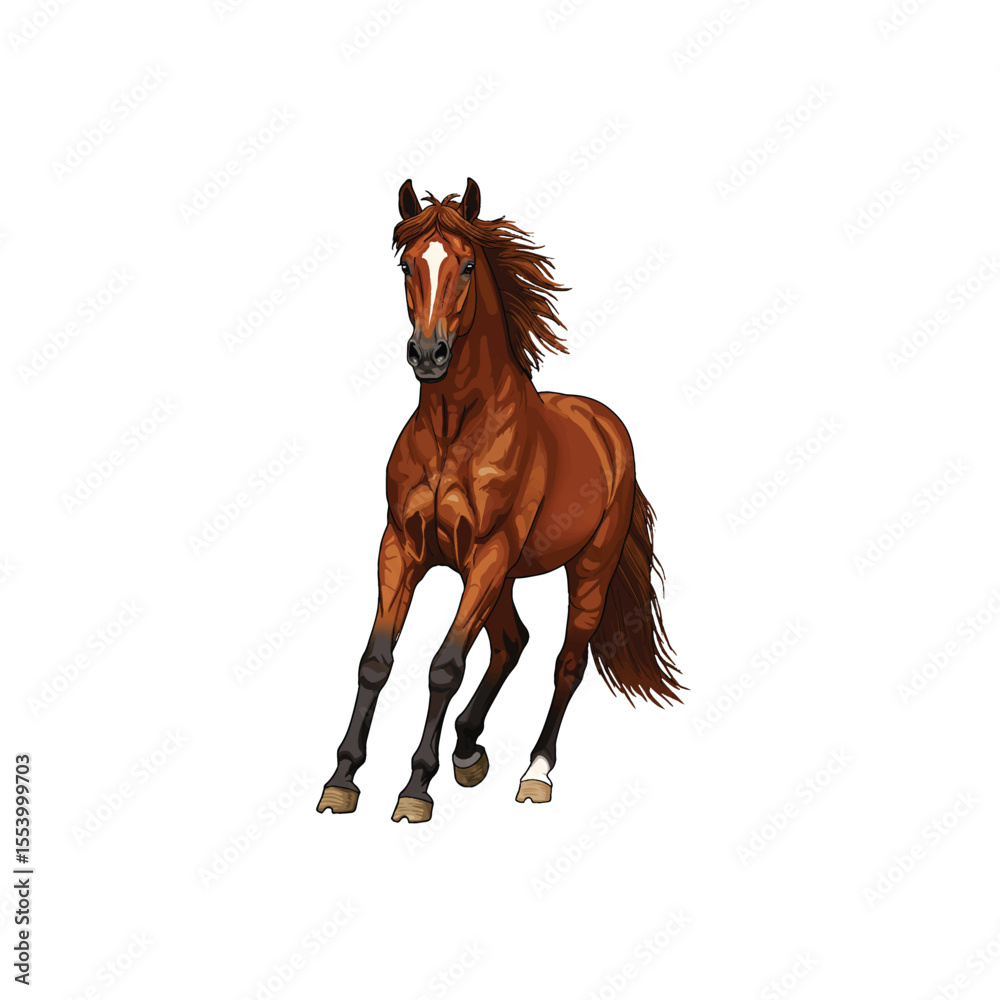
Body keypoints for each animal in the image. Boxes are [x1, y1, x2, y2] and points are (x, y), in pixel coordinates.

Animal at [317, 178, 682, 823]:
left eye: (465, 264)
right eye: (407, 265)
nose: (428, 354)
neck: (453, 429)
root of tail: (609, 427)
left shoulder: (487, 553)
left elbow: (444, 666)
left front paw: (416, 788)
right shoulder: (402, 548)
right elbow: (375, 660)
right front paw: (342, 779)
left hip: (585, 567)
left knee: (566, 663)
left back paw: (535, 772)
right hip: (501, 576)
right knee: (513, 643)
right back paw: (468, 749)